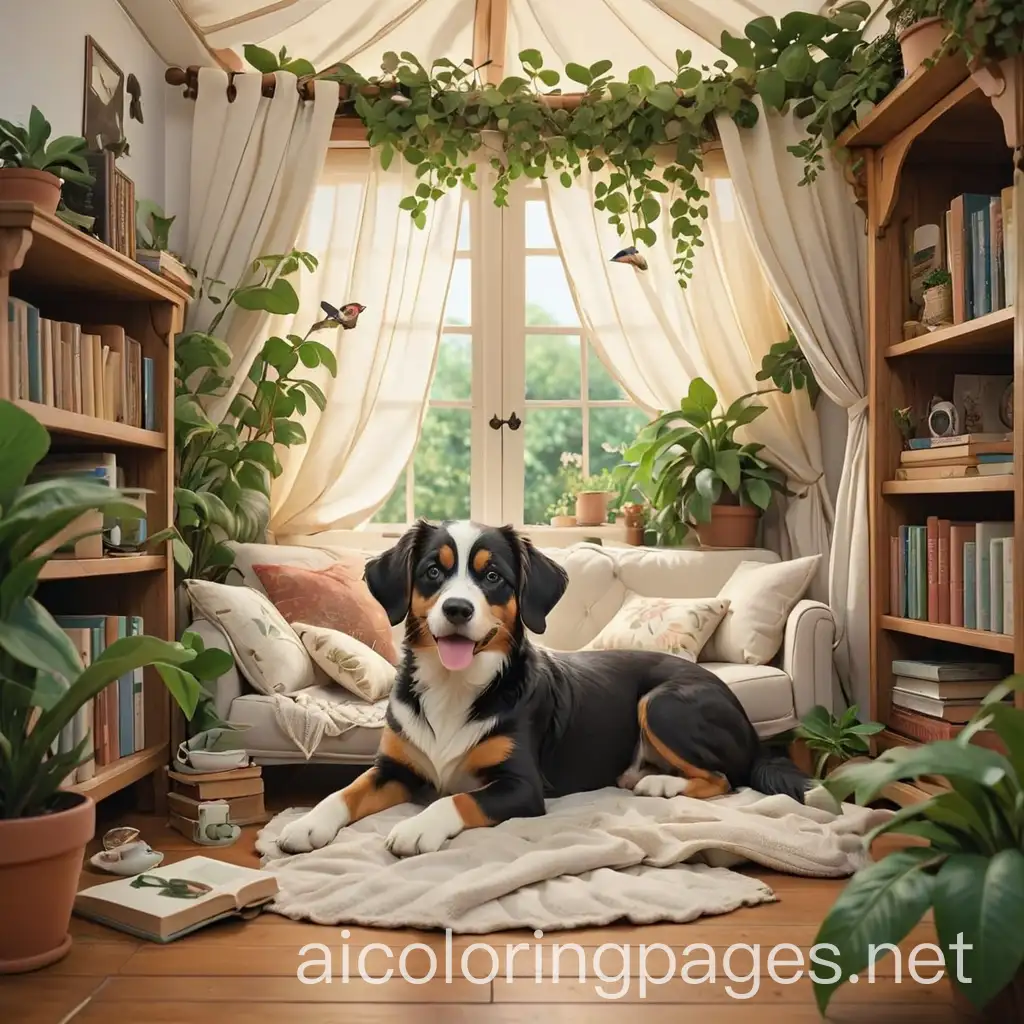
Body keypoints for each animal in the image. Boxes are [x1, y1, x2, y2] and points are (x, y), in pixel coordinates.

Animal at [276, 520, 819, 856]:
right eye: (433, 571)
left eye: (493, 576)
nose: (457, 609)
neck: (455, 687)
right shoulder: (396, 767)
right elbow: (345, 792)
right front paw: (304, 824)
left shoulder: (522, 786)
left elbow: (458, 800)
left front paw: (417, 826)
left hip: (662, 703)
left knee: (726, 777)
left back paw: (659, 783)